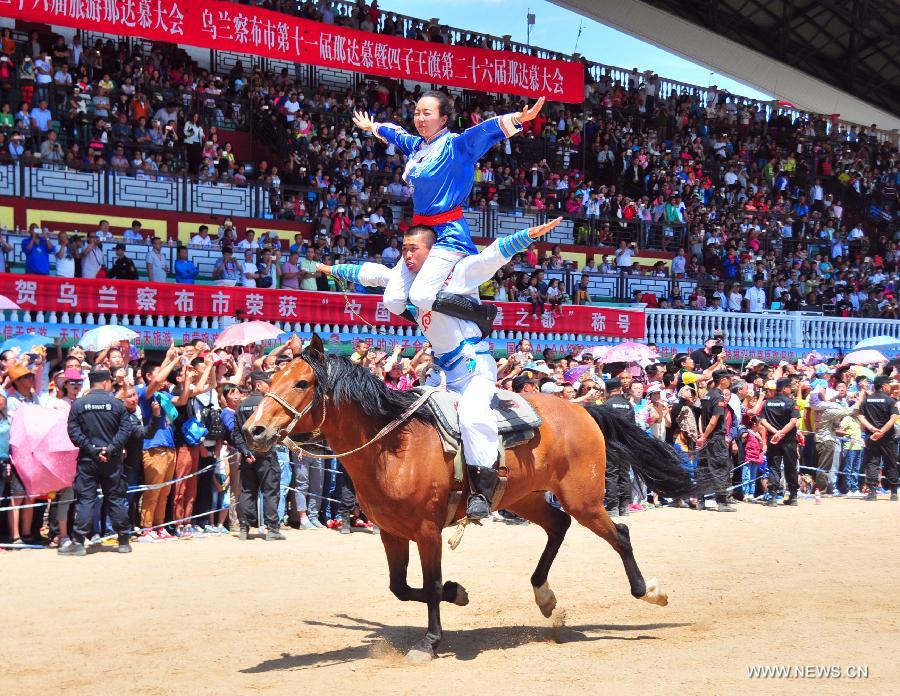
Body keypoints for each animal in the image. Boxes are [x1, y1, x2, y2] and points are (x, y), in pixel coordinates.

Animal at [243, 334, 692, 660]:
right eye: (270, 382)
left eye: (301, 383)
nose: (253, 430)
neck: (393, 446)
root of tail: (584, 410)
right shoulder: (392, 531)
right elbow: (400, 587)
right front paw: (457, 594)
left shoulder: (427, 531)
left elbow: (429, 583)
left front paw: (430, 640)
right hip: (522, 497)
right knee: (558, 526)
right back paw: (545, 597)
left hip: (582, 499)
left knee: (618, 534)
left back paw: (648, 591)